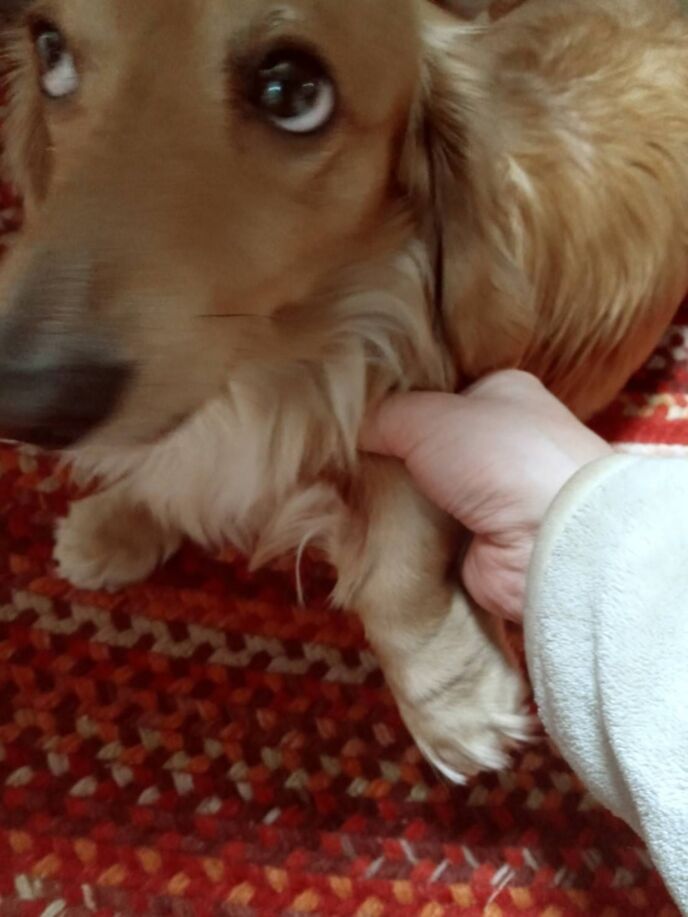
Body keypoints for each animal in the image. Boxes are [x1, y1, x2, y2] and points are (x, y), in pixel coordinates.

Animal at [1, 0, 688, 782]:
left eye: (292, 92)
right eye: (50, 50)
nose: (23, 397)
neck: (272, 364)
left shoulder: (435, 400)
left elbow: (397, 557)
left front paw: (453, 698)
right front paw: (118, 520)